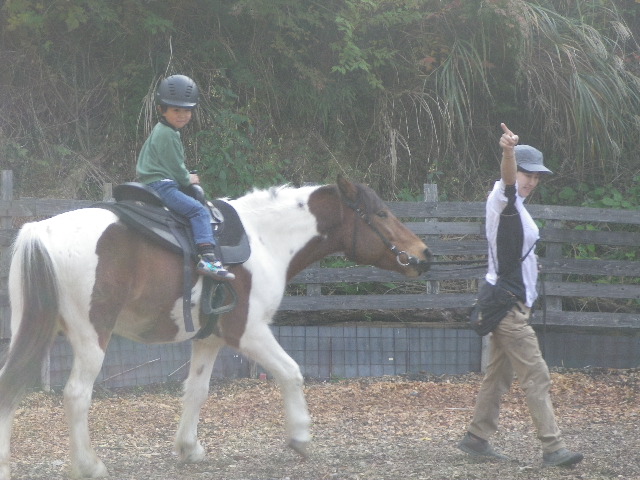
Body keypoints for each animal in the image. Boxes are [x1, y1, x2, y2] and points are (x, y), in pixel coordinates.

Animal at [0, 175, 431, 479]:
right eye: (380, 214)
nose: (424, 255)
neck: (265, 239)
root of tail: (41, 231)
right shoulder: (249, 332)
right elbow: (291, 373)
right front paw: (300, 437)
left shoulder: (208, 339)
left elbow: (197, 391)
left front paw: (189, 448)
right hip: (92, 338)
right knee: (76, 395)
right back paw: (89, 465)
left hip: (29, 330)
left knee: (10, 385)